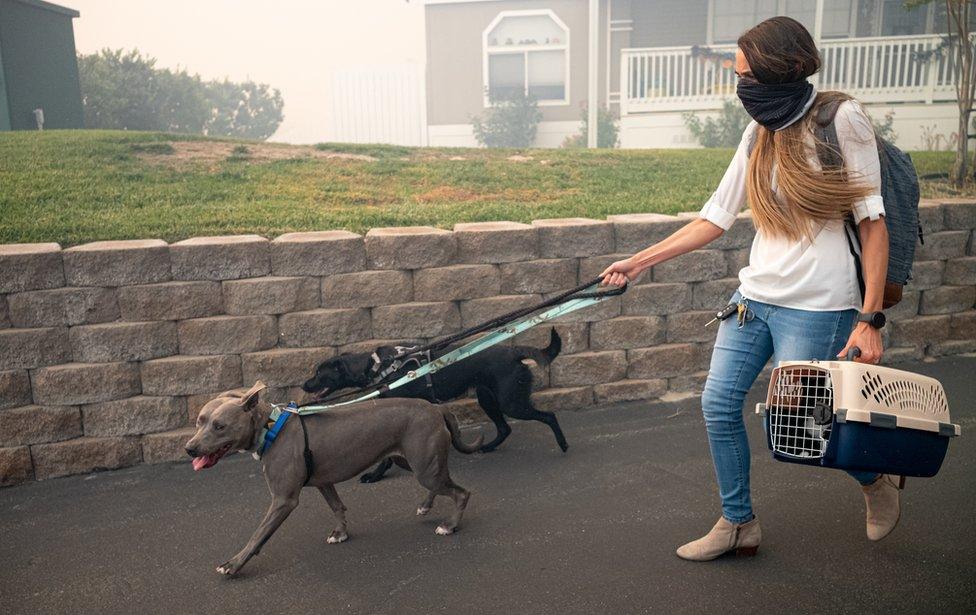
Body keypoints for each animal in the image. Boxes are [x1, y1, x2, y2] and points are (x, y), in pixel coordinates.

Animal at [185, 380, 482, 576]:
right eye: (199, 421)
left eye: (220, 426)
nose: (189, 448)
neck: (270, 429)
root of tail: (436, 408)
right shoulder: (323, 481)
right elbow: (338, 506)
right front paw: (340, 533)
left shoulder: (283, 500)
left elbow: (257, 535)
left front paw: (234, 564)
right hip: (413, 462)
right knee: (442, 483)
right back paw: (425, 506)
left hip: (423, 467)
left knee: (461, 492)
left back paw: (450, 525)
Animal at [304, 332, 564, 482]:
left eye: (318, 373)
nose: (304, 385)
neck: (377, 367)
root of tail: (514, 351)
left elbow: (388, 456)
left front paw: (376, 475)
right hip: (488, 398)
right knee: (504, 428)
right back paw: (487, 447)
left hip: (510, 402)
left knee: (549, 416)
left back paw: (563, 446)